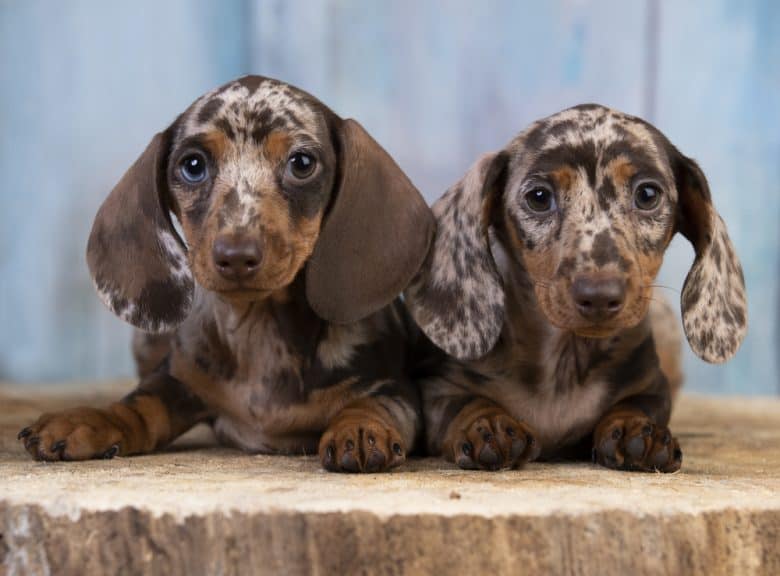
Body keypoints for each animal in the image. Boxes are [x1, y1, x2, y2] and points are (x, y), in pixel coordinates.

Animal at [19, 75, 432, 472]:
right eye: (193, 165)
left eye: (302, 163)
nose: (236, 256)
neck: (261, 329)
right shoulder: (179, 382)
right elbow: (139, 405)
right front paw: (88, 420)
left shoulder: (393, 389)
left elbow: (370, 404)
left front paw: (360, 429)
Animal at [406, 103, 748, 472]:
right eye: (539, 197)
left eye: (647, 194)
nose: (599, 297)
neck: (564, 367)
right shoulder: (439, 387)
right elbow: (463, 403)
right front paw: (488, 424)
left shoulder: (652, 386)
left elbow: (638, 404)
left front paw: (634, 428)